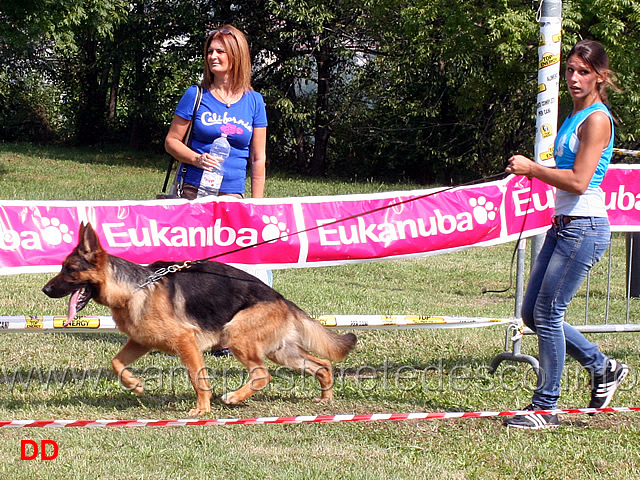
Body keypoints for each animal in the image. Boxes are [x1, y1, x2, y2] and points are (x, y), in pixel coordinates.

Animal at [42, 223, 358, 414]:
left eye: (70, 270)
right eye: (62, 267)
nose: (45, 290)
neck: (135, 288)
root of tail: (281, 299)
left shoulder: (186, 342)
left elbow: (198, 378)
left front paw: (202, 410)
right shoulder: (141, 341)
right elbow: (117, 363)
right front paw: (136, 385)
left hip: (236, 336)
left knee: (262, 374)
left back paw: (234, 397)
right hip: (282, 352)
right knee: (322, 365)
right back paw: (325, 398)